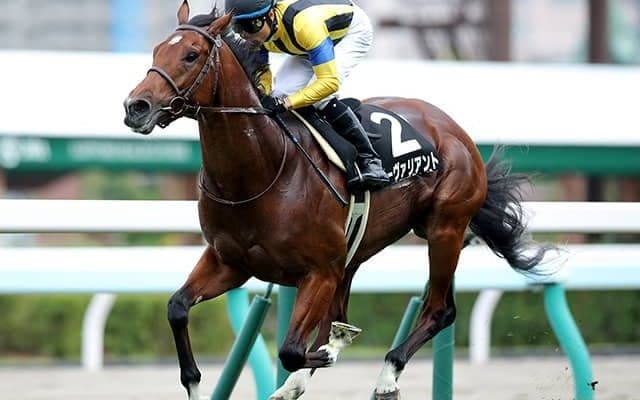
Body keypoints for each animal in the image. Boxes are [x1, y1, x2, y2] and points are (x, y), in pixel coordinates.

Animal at [123, 2, 549, 399]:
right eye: (157, 50)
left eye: (191, 55)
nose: (136, 107)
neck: (260, 171)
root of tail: (454, 129)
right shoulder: (229, 262)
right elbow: (177, 308)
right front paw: (197, 384)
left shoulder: (319, 272)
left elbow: (292, 350)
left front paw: (331, 350)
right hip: (356, 252)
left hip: (445, 229)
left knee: (439, 309)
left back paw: (385, 376)